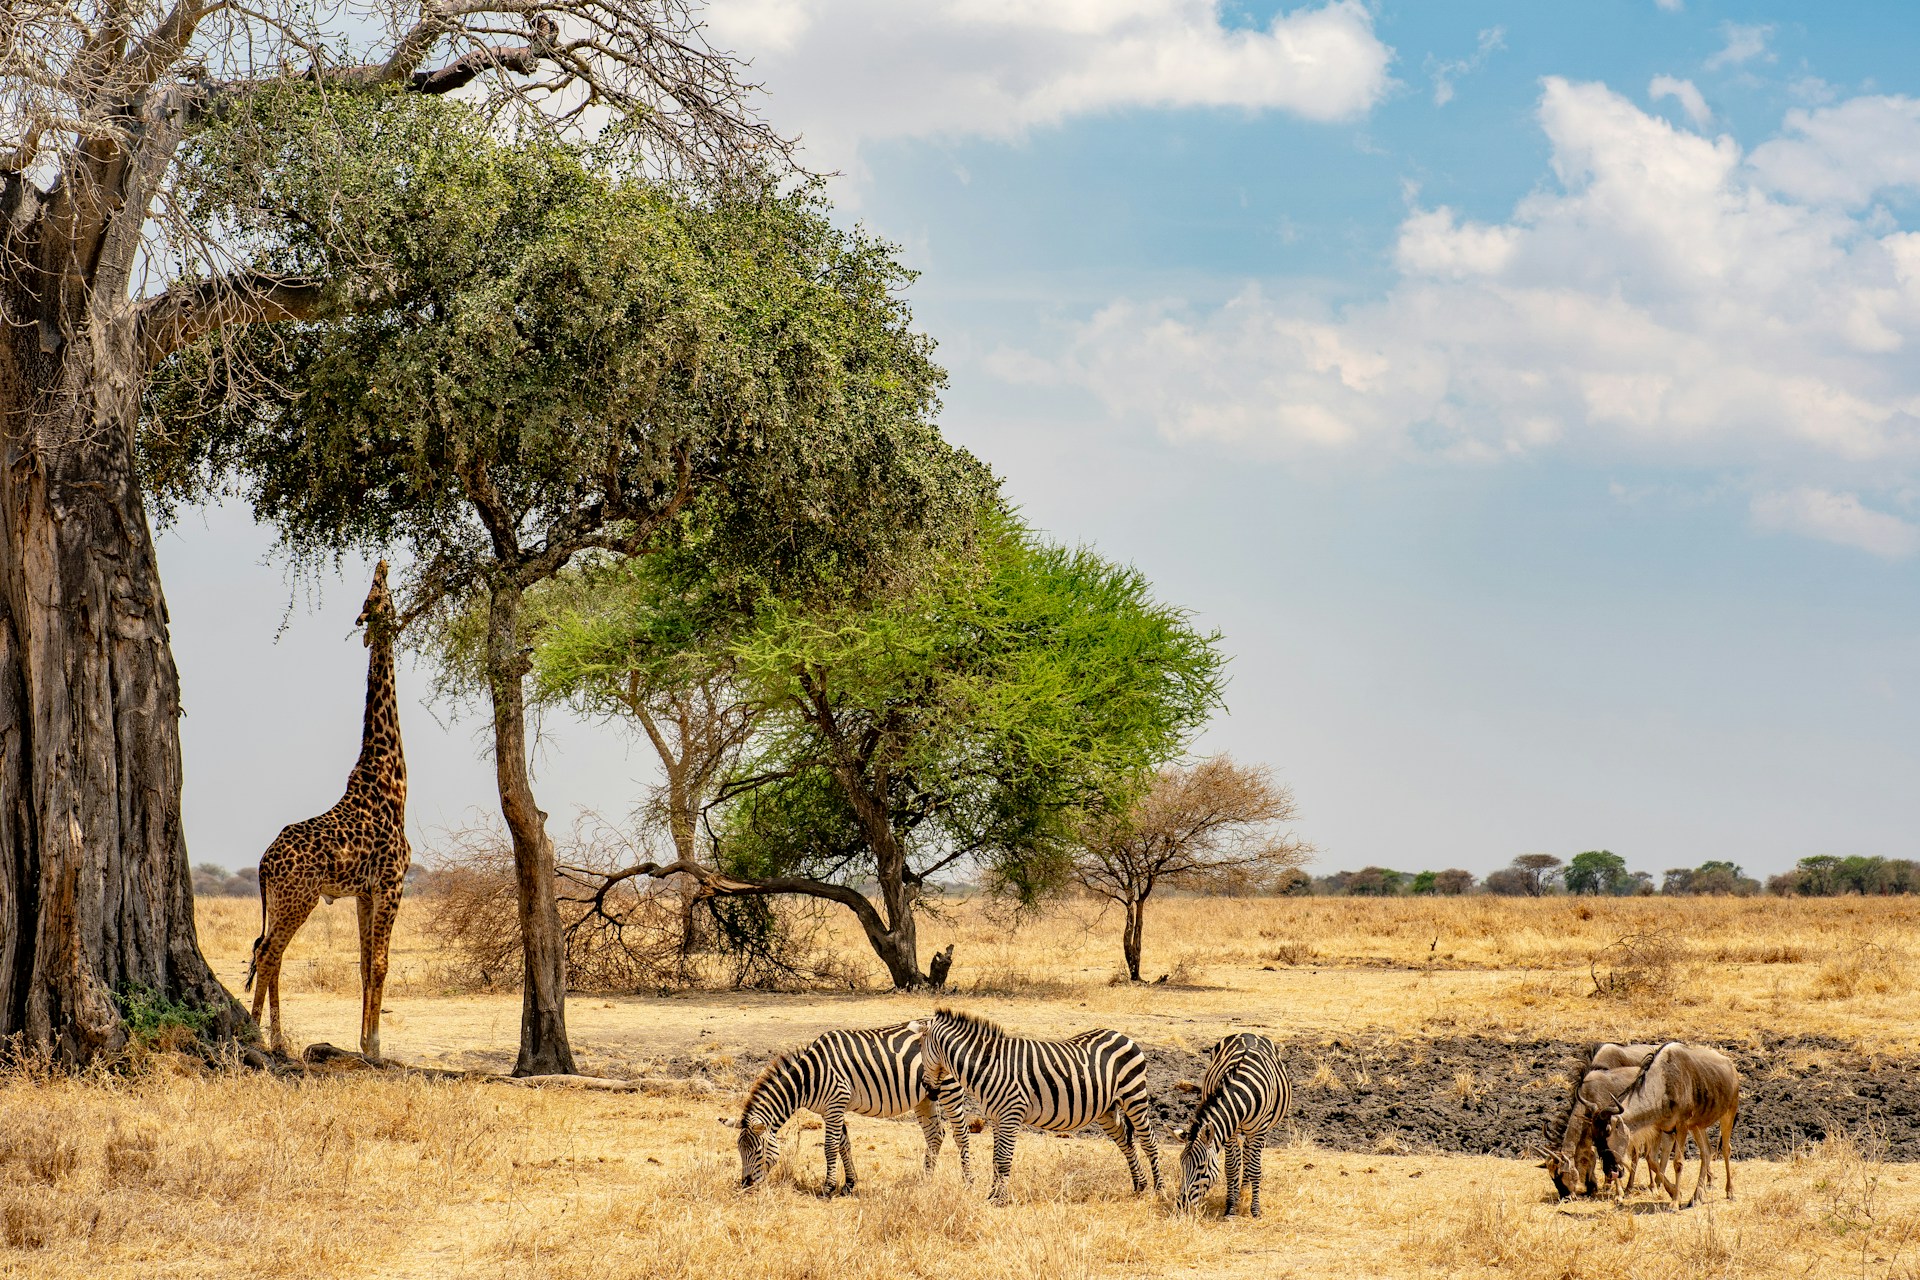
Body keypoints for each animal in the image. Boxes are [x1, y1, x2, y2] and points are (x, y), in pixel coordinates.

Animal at [245, 560, 410, 1059]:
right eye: (374, 595)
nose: (382, 563)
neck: (392, 781)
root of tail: (263, 863)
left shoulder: (365, 892)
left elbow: (364, 963)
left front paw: (362, 1042)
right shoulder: (392, 882)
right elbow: (381, 962)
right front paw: (374, 1046)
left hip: (283, 899)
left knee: (266, 950)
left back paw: (268, 1035)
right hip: (298, 897)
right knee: (269, 953)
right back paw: (267, 1038)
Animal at [729, 1028, 975, 1197]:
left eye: (757, 1151)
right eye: (739, 1150)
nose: (745, 1185)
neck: (808, 1078)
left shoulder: (836, 1103)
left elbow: (830, 1147)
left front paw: (828, 1188)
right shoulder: (830, 1109)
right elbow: (843, 1144)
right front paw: (849, 1184)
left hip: (950, 1088)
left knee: (961, 1136)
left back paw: (968, 1183)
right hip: (925, 1096)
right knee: (935, 1135)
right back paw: (925, 1180)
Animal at [906, 1005, 1159, 1205]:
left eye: (920, 1048)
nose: (928, 1088)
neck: (988, 1065)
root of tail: (1121, 1035)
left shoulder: (1011, 1114)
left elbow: (1003, 1159)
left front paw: (999, 1200)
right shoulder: (997, 1118)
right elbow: (995, 1159)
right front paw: (992, 1195)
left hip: (1134, 1096)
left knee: (1149, 1141)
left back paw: (1160, 1190)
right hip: (1107, 1109)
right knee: (1126, 1142)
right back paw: (1140, 1186)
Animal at [1167, 1028, 1290, 1220]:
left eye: (1201, 1167)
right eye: (1182, 1165)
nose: (1182, 1206)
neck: (1242, 1091)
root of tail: (1248, 1032)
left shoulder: (1259, 1129)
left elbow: (1256, 1168)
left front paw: (1255, 1210)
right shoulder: (1230, 1130)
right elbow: (1232, 1167)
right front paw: (1231, 1208)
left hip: (1259, 1129)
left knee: (1251, 1156)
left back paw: (1246, 1190)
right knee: (1245, 1153)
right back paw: (1242, 1190)